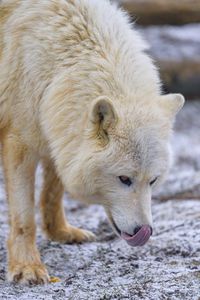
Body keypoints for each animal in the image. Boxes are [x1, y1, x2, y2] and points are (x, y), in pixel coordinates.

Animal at [0, 0, 184, 284]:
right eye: (124, 179)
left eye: (152, 181)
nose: (144, 230)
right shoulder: (20, 140)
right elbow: (24, 217)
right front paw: (26, 267)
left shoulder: (59, 133)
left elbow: (53, 192)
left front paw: (60, 232)